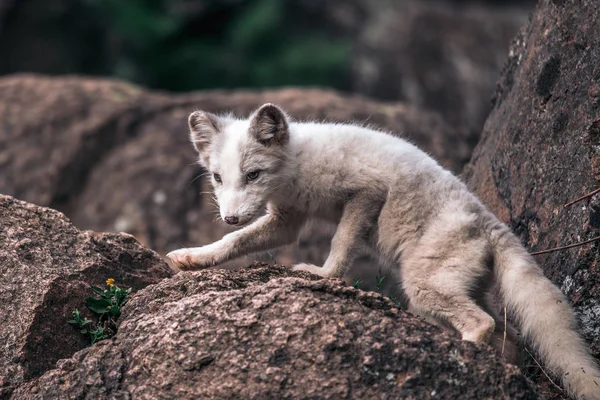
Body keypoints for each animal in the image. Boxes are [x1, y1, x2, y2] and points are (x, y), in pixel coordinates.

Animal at [168, 104, 600, 400]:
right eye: (218, 178)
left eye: (253, 175)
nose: (229, 216)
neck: (296, 164)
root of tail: (491, 222)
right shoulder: (286, 220)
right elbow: (235, 243)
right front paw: (194, 257)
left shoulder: (365, 193)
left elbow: (341, 242)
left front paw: (322, 276)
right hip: (448, 291)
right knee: (509, 341)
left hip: (422, 287)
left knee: (483, 324)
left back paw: (461, 359)